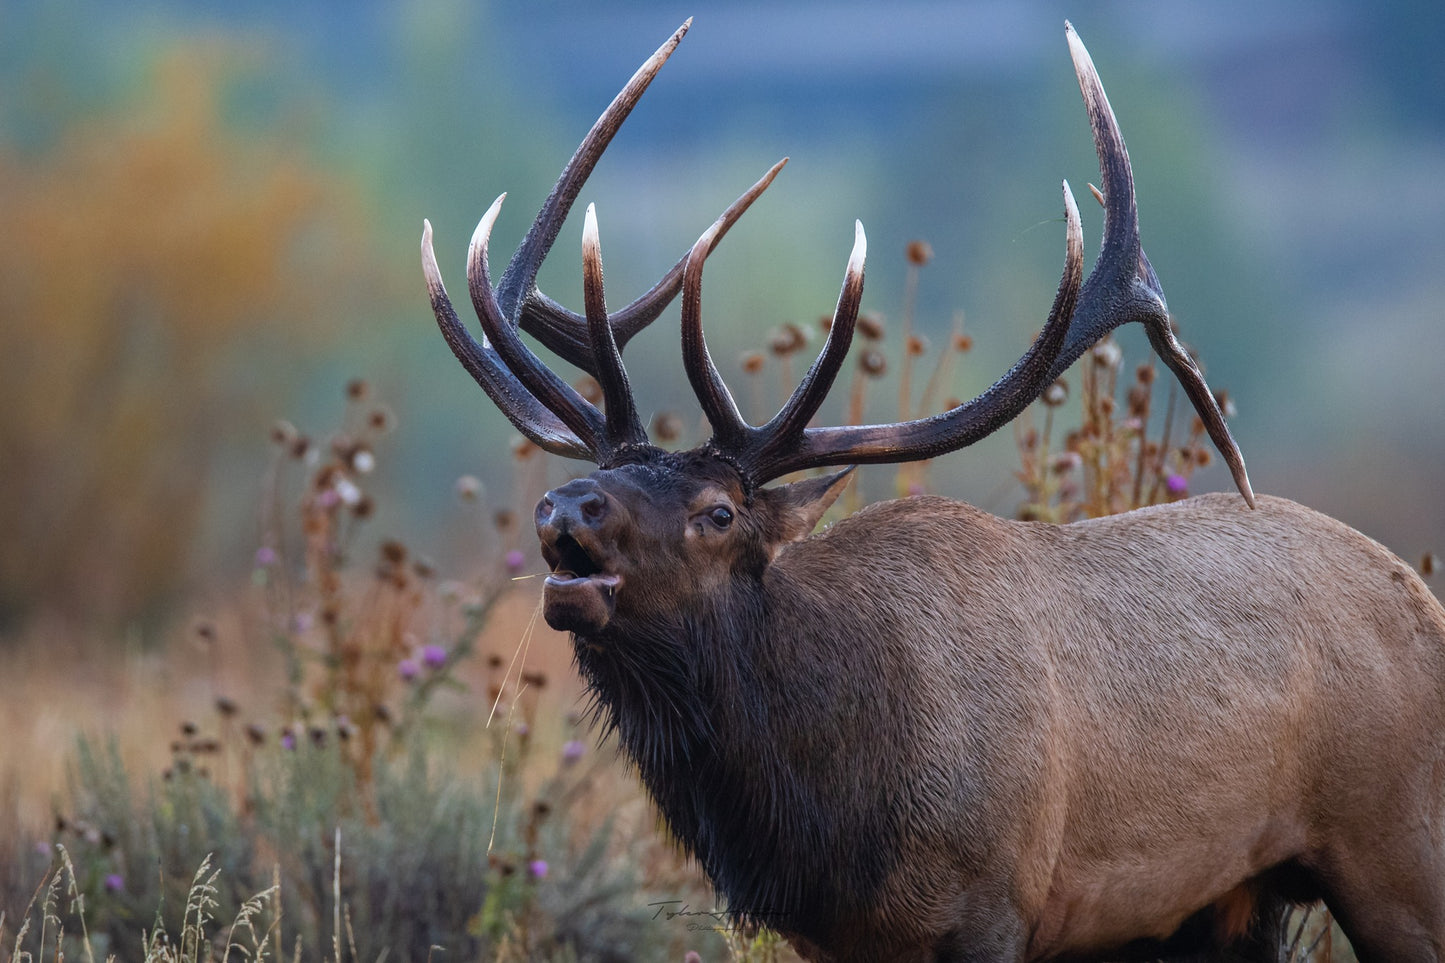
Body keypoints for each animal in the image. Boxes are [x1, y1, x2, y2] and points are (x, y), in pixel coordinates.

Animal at [419, 20, 1445, 960]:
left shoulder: (991, 905)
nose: (568, 509)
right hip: (1228, 901)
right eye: (591, 476)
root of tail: (1422, 598)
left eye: (719, 513)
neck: (828, 819)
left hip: (1399, 853)